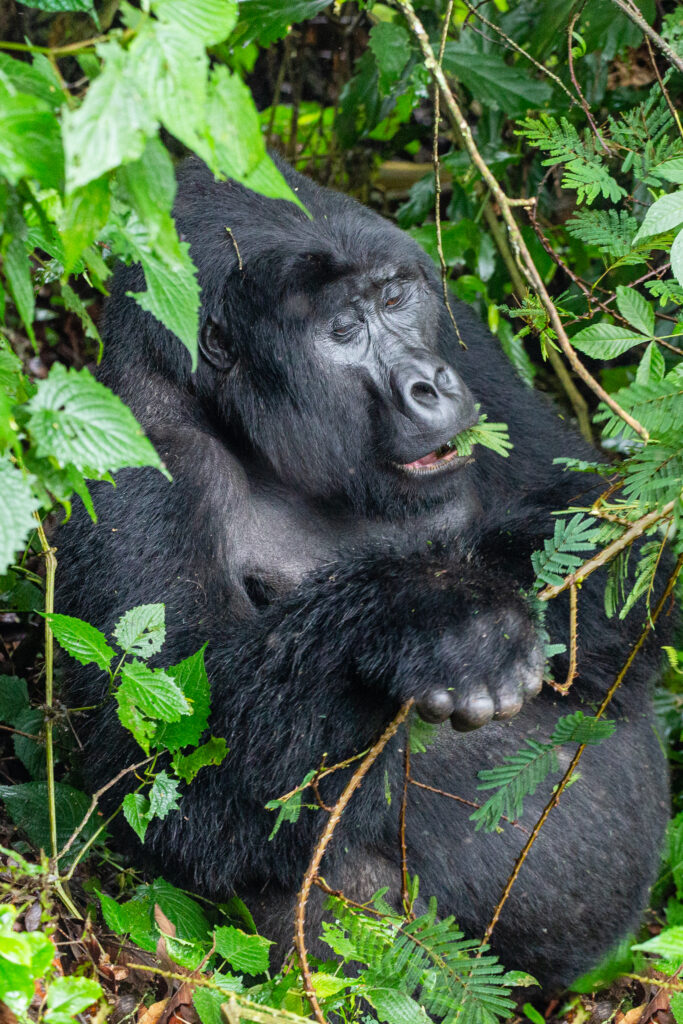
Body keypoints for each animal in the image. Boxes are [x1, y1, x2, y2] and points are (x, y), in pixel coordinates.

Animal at [56, 155, 671, 987]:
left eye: (394, 299)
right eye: (341, 333)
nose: (427, 383)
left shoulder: (464, 340)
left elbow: (602, 516)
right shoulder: (130, 454)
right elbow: (167, 767)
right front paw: (436, 617)